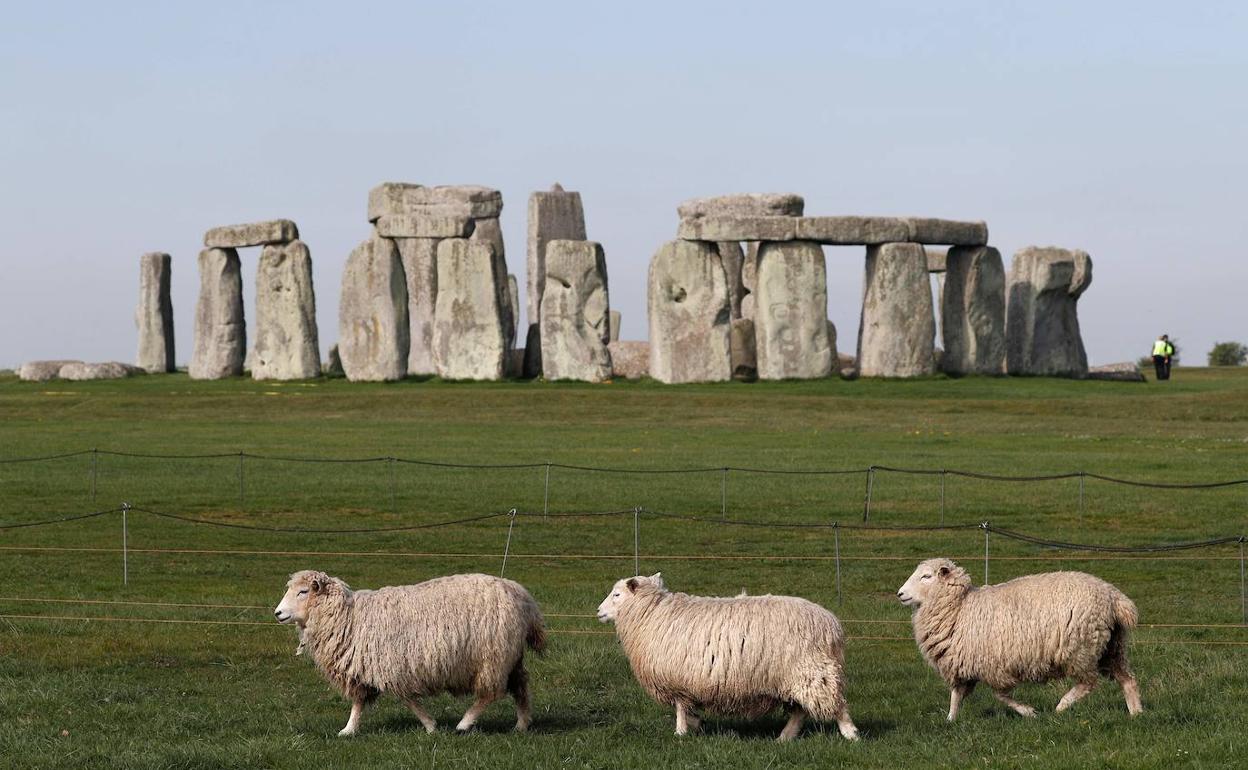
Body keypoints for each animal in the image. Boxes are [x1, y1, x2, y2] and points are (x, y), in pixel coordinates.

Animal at [273, 566, 546, 733]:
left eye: (303, 591)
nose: (277, 613)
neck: (348, 617)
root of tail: (523, 596)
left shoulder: (392, 666)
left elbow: (408, 700)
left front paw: (430, 725)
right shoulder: (364, 668)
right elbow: (359, 702)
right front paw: (348, 730)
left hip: (493, 657)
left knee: (490, 694)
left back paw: (464, 723)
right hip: (511, 656)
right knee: (520, 685)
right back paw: (521, 724)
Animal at [594, 571, 858, 738]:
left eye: (617, 595)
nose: (598, 611)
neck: (652, 613)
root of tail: (832, 624)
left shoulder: (677, 679)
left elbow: (679, 708)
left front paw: (680, 732)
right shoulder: (685, 682)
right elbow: (686, 708)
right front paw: (696, 723)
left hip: (812, 669)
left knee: (834, 703)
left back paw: (850, 734)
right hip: (794, 676)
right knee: (800, 711)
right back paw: (784, 737)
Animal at [898, 556, 1143, 718]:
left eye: (926, 576)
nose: (900, 593)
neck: (960, 607)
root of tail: (1114, 597)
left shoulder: (993, 666)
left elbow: (1000, 695)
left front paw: (1028, 711)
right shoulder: (963, 664)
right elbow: (957, 695)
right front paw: (950, 720)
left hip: (1080, 648)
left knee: (1088, 682)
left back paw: (1061, 707)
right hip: (1112, 646)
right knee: (1127, 679)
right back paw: (1136, 713)